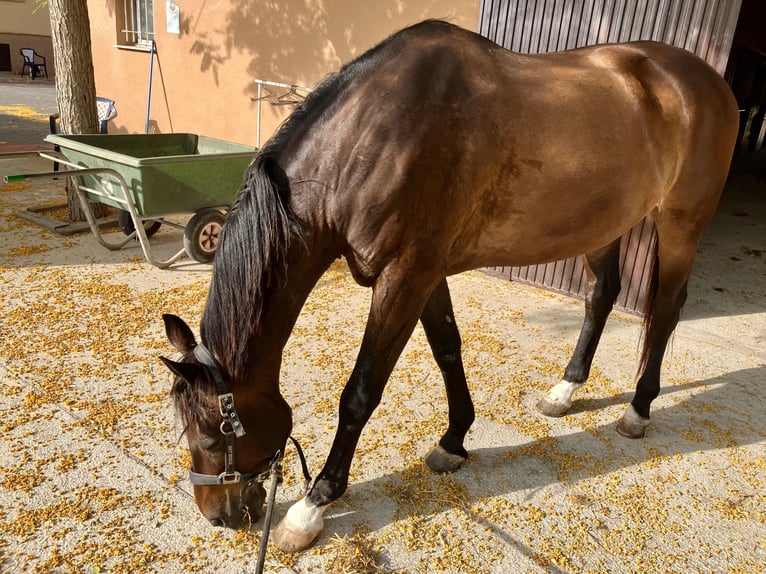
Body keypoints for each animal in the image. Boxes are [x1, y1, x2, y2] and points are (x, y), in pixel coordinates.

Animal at [159, 20, 738, 552]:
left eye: (210, 433)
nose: (217, 516)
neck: (368, 140)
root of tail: (706, 80)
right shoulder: (426, 275)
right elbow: (447, 351)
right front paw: (455, 440)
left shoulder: (405, 277)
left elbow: (361, 392)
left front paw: (311, 506)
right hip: (603, 222)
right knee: (600, 298)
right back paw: (565, 390)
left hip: (681, 222)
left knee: (666, 309)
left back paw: (638, 409)